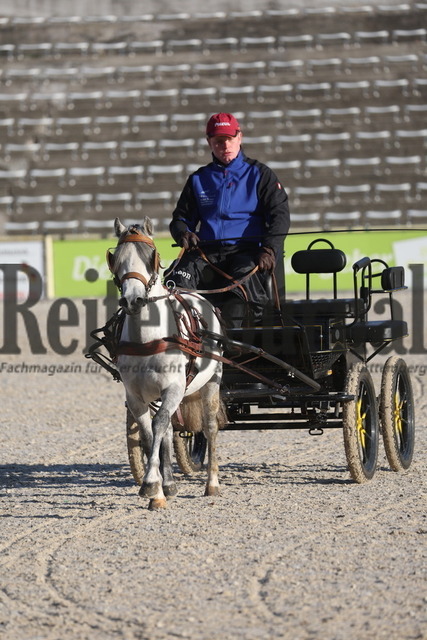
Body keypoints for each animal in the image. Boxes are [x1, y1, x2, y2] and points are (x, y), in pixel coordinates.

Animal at [109, 218, 224, 508]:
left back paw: (212, 483)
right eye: (116, 258)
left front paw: (151, 483)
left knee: (210, 427)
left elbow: (159, 424)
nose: (133, 300)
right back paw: (170, 483)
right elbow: (151, 433)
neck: (147, 339)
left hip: (212, 381)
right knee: (171, 428)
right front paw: (159, 489)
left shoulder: (174, 387)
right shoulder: (135, 395)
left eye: (151, 257)